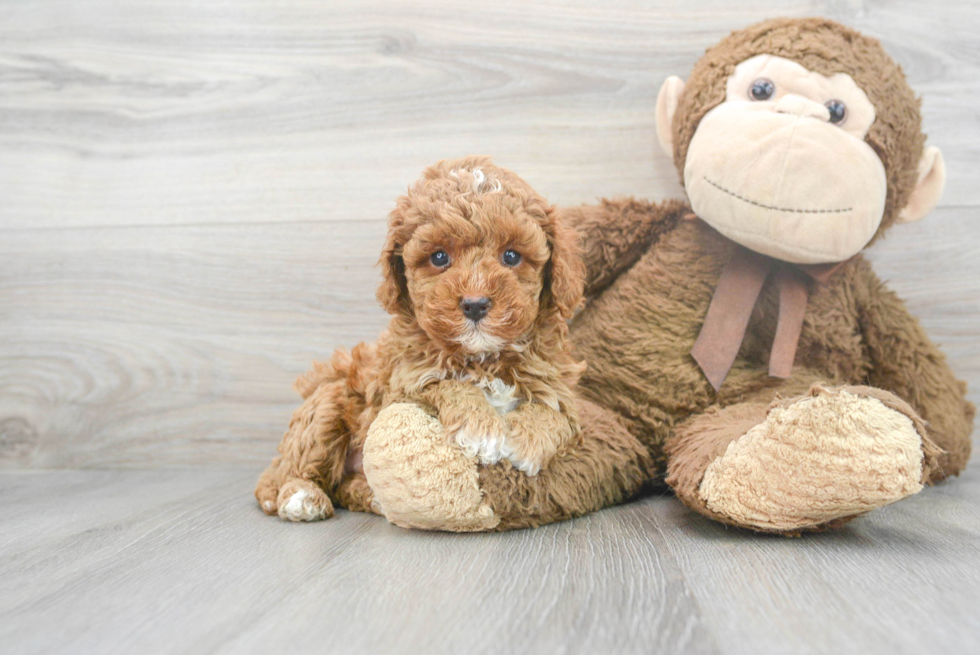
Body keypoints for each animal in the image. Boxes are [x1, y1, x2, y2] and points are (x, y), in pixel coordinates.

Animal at [256, 156, 584, 520]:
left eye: (512, 256)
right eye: (439, 257)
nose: (475, 304)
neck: (482, 358)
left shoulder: (558, 387)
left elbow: (557, 415)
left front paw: (524, 441)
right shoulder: (401, 384)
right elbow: (446, 383)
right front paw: (480, 428)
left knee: (343, 486)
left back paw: (369, 496)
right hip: (327, 406)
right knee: (295, 467)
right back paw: (302, 495)